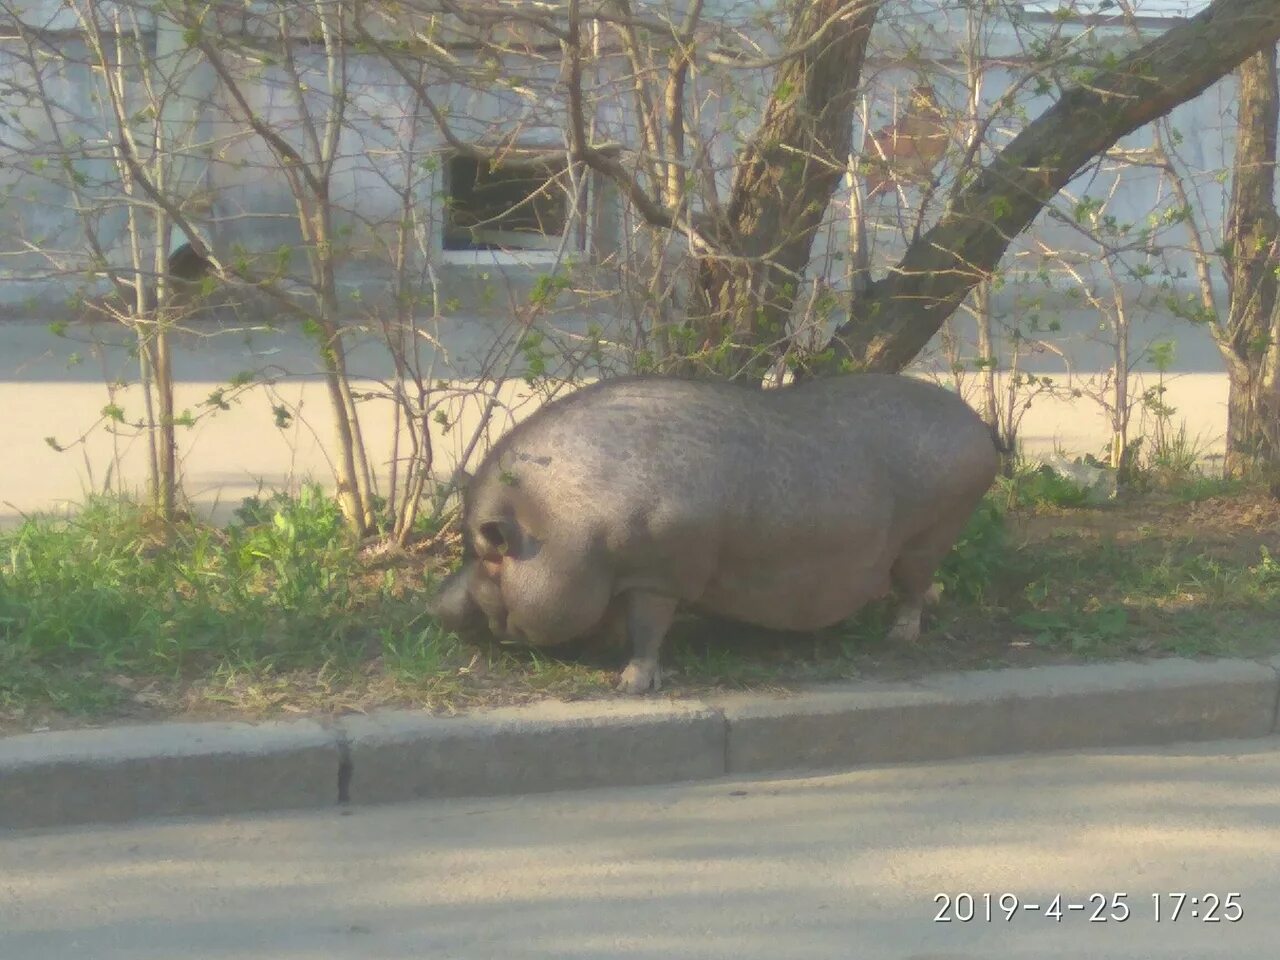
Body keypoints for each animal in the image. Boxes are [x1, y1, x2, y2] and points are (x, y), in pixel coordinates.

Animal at [430, 371, 998, 696]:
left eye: (487, 551)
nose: (438, 607)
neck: (555, 521)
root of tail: (978, 424)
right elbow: (620, 618)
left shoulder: (659, 574)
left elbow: (648, 628)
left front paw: (631, 684)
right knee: (920, 587)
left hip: (929, 535)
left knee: (913, 589)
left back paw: (898, 637)